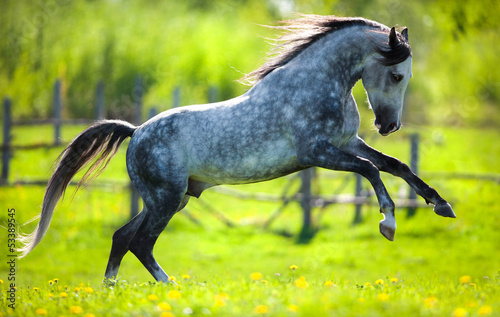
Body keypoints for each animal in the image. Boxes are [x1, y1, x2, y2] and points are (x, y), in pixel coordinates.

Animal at [17, 14, 456, 282]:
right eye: (397, 75)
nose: (389, 126)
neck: (318, 84)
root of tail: (136, 131)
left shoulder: (348, 143)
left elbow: (396, 166)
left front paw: (441, 205)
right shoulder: (317, 153)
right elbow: (372, 170)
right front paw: (388, 223)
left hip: (169, 199)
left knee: (122, 238)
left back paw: (113, 291)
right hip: (165, 199)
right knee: (140, 243)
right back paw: (170, 288)